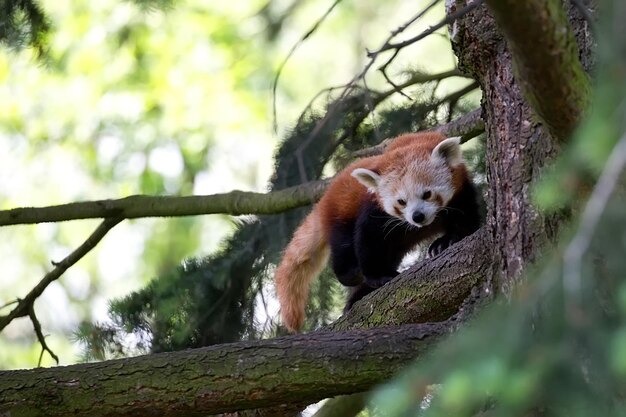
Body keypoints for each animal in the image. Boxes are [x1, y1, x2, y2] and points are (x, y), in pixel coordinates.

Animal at [272, 130, 478, 332]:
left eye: (427, 194)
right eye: (401, 201)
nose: (417, 216)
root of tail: (325, 198)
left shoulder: (462, 191)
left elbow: (467, 220)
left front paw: (446, 241)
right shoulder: (375, 211)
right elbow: (369, 242)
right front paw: (380, 276)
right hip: (340, 216)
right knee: (343, 249)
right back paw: (353, 275)